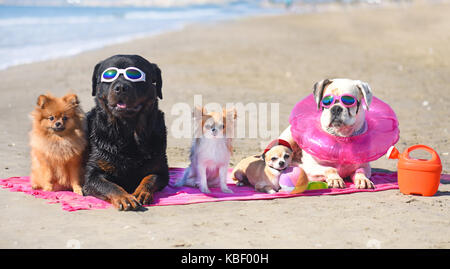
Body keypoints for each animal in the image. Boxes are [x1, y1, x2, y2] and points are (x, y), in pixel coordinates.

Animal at [82, 54, 169, 209]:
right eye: (109, 75)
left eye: (135, 74)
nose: (121, 87)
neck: (128, 131)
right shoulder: (92, 175)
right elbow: (110, 185)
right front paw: (124, 197)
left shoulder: (161, 170)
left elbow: (150, 177)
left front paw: (142, 192)